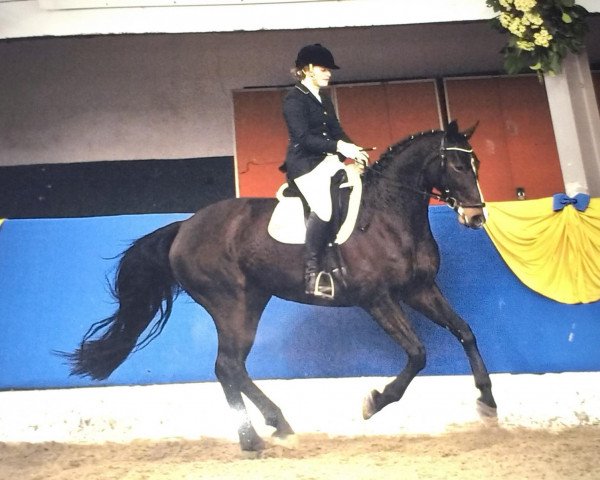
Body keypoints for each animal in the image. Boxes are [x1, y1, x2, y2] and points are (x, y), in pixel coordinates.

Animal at [64, 120, 496, 450]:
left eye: (476, 162)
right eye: (458, 164)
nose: (475, 217)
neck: (389, 215)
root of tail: (185, 226)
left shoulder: (419, 290)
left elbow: (466, 332)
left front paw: (488, 404)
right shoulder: (377, 300)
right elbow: (418, 354)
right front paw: (374, 402)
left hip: (252, 301)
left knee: (231, 367)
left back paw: (269, 431)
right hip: (231, 304)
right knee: (228, 365)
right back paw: (259, 436)